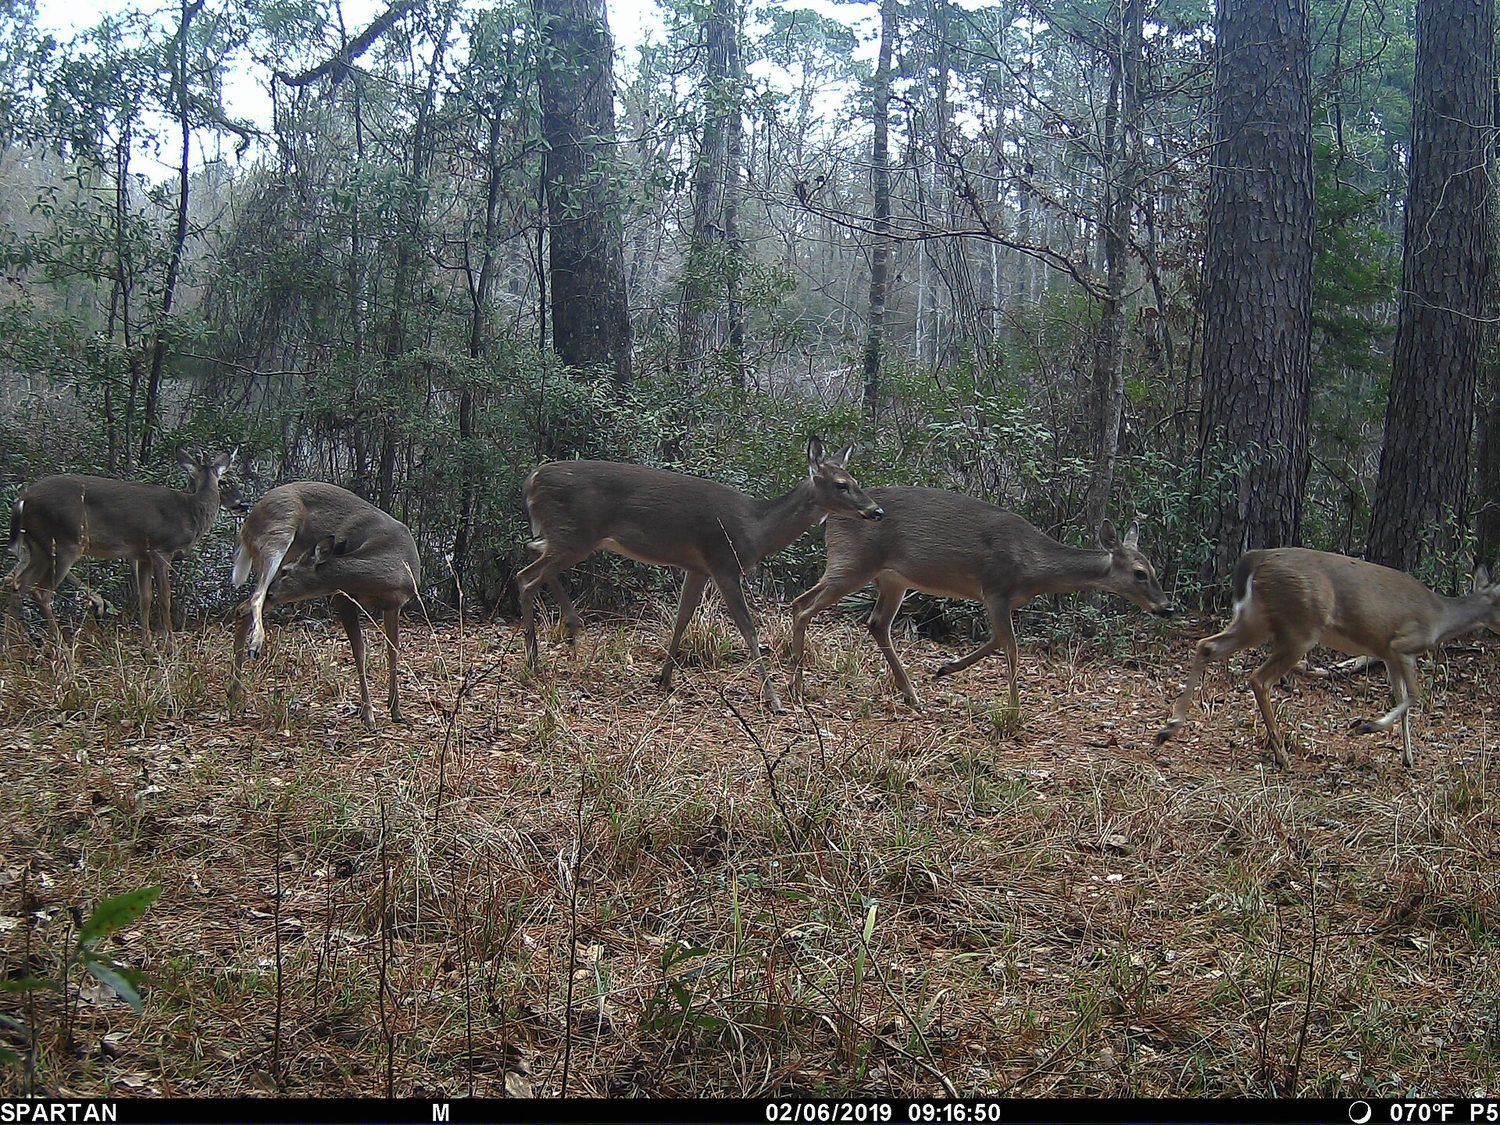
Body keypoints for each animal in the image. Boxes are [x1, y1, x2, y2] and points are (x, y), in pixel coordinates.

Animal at [6, 449, 238, 651]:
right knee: (41, 591)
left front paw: (148, 647)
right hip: (65, 541)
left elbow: (145, 598)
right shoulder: (161, 549)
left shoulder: (142, 554)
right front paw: (171, 647)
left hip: (39, 547)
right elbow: (164, 597)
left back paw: (14, 649)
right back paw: (62, 650)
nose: (241, 503)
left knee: (19, 587)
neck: (191, 513)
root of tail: (23, 499)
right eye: (224, 481)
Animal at [229, 482, 422, 730]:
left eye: (287, 572)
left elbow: (393, 650)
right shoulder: (342, 597)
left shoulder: (394, 605)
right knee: (254, 599)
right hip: (276, 536)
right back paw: (254, 646)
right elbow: (360, 651)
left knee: (244, 607)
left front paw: (395, 709)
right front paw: (368, 715)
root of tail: (250, 517)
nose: (274, 589)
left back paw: (234, 694)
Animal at [518, 437, 885, 711]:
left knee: (531, 551)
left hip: (565, 536)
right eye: (842, 484)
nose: (876, 511)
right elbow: (749, 630)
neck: (758, 528)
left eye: (856, 481)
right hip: (574, 533)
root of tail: (532, 479)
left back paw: (570, 629)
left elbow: (683, 617)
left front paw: (664, 678)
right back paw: (534, 659)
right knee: (526, 577)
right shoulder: (724, 563)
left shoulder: (697, 568)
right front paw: (775, 699)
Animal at [788, 487, 1176, 711]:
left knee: (875, 622)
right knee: (803, 605)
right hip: (852, 562)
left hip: (892, 578)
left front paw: (944, 668)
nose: (1167, 607)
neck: (1034, 565)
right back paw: (795, 687)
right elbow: (1012, 647)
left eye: (1154, 569)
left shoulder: (1004, 599)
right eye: (1140, 573)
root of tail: (832, 516)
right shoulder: (995, 589)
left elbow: (996, 641)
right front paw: (1015, 711)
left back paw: (912, 695)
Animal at [1156, 547, 1500, 768]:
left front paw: (1408, 759)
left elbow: (1402, 698)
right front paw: (1368, 727)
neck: (1440, 618)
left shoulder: (1388, 654)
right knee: (1259, 678)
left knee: (1207, 645)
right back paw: (1282, 755)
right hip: (1301, 627)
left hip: (1256, 619)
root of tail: (1257, 559)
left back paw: (1169, 727)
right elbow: (1414, 696)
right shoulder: (1402, 645)